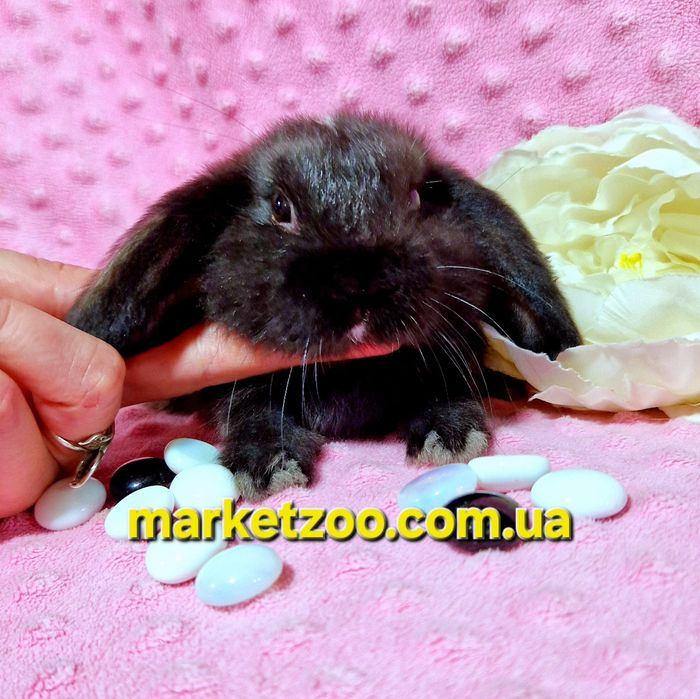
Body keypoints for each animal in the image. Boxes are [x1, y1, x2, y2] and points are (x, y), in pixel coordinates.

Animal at [66, 114, 581, 501]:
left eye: (419, 197)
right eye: (279, 206)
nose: (361, 281)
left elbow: (446, 386)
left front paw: (449, 434)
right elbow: (252, 412)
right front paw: (266, 464)